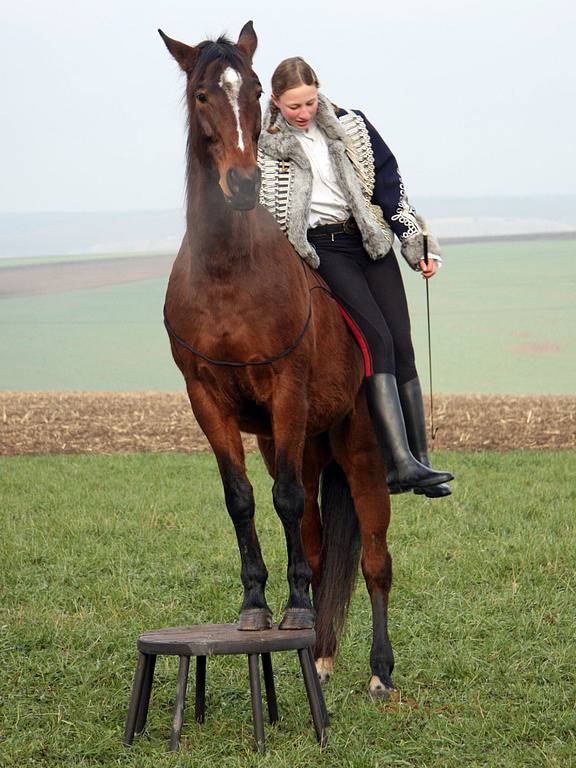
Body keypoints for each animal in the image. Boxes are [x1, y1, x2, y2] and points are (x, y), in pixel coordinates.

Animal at [160, 22, 398, 696]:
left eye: (256, 89)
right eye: (203, 93)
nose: (242, 184)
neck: (226, 275)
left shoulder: (285, 393)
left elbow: (285, 500)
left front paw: (290, 609)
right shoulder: (209, 402)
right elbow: (241, 498)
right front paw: (257, 607)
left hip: (358, 448)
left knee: (375, 559)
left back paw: (380, 671)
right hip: (305, 444)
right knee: (317, 546)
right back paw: (318, 653)